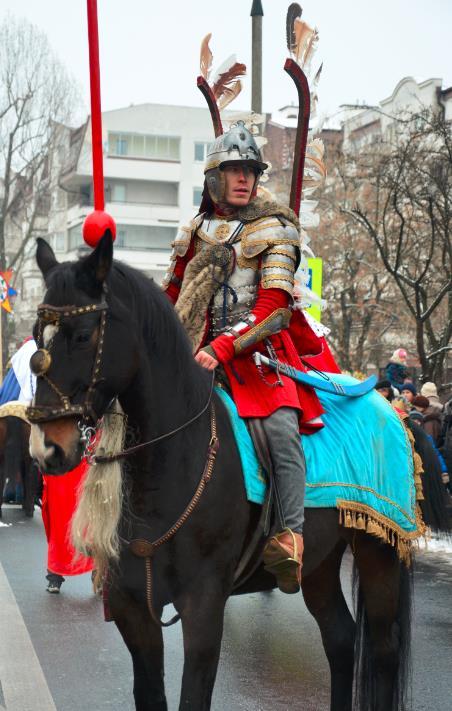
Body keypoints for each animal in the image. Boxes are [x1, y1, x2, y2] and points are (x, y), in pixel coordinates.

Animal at [30, 235, 420, 711]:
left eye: (84, 335)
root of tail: (391, 411)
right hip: (321, 563)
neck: (171, 464)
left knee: (382, 651)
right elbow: (149, 693)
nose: (47, 449)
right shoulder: (132, 608)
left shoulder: (204, 607)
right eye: (37, 336)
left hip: (377, 552)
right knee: (341, 639)